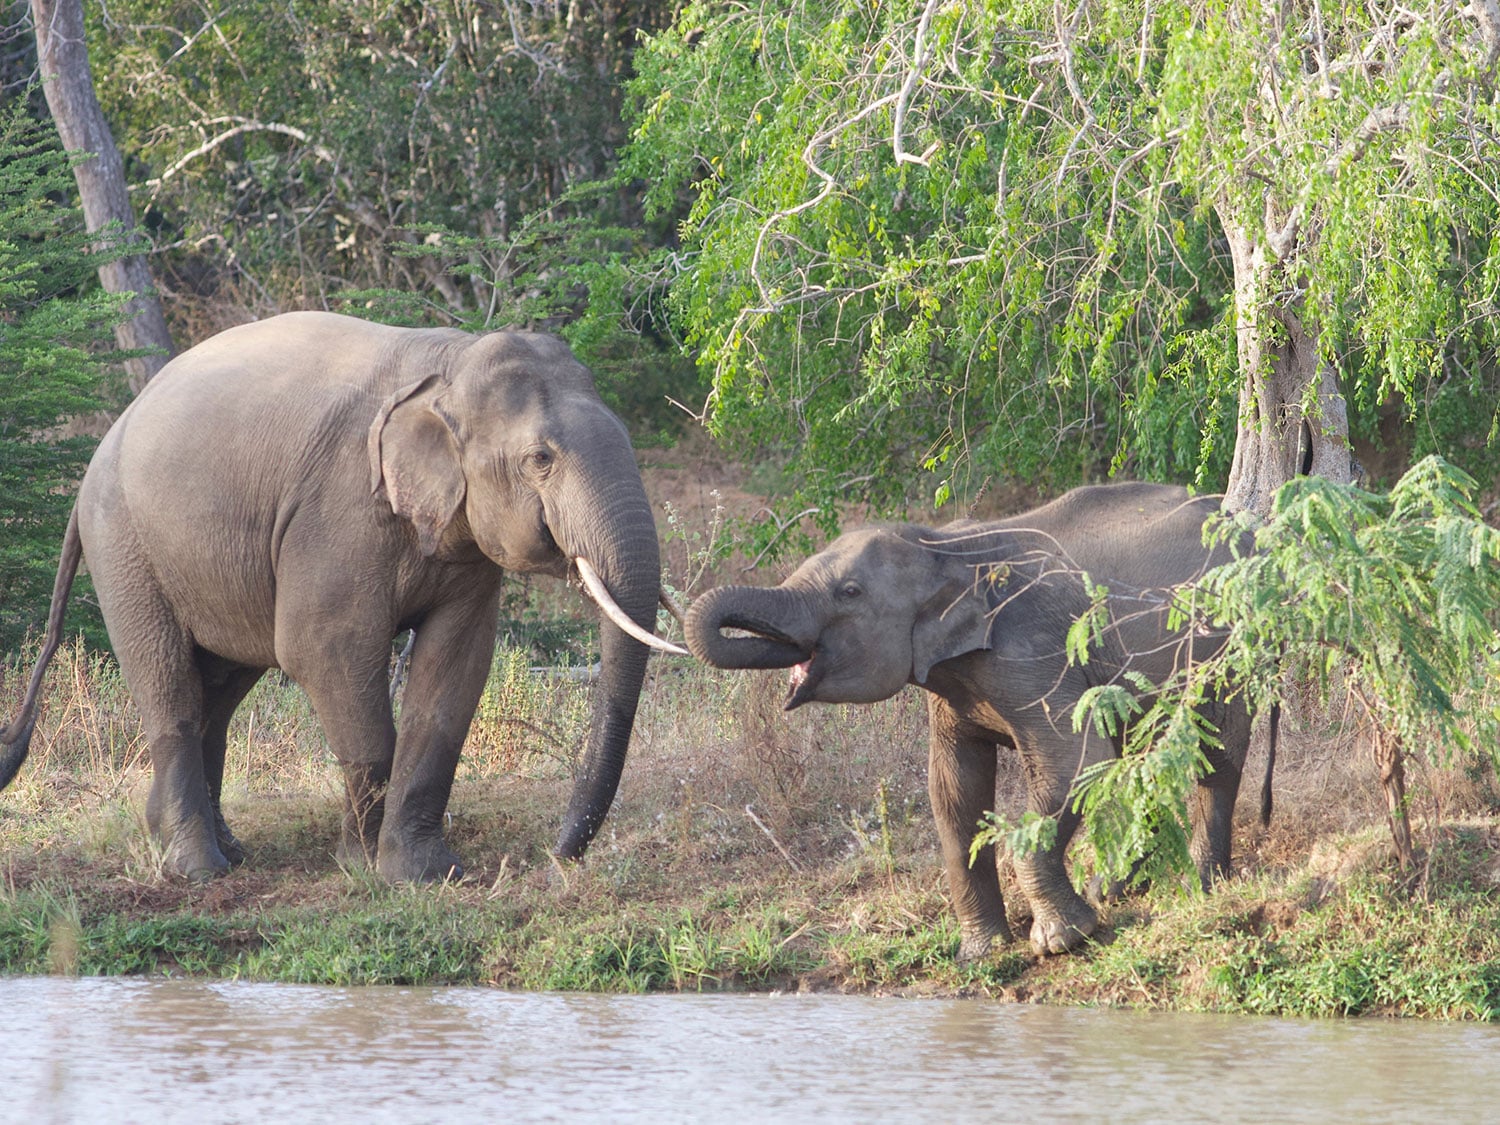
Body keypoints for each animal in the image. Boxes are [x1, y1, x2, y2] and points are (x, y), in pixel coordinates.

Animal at [0, 313, 687, 888]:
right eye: (540, 459)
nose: (556, 857)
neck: (451, 362)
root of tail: (101, 449)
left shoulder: (461, 541)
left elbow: (456, 669)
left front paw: (425, 875)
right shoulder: (340, 514)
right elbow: (321, 650)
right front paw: (363, 868)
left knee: (219, 688)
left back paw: (221, 851)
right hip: (126, 548)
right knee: (172, 689)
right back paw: (196, 871)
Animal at [687, 486, 1260, 960]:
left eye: (849, 592)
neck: (943, 544)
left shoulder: (1033, 656)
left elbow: (1075, 763)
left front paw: (1063, 940)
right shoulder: (952, 683)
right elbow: (953, 792)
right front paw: (981, 954)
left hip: (1227, 650)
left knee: (1214, 754)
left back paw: (1199, 888)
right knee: (1148, 760)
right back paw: (1113, 889)